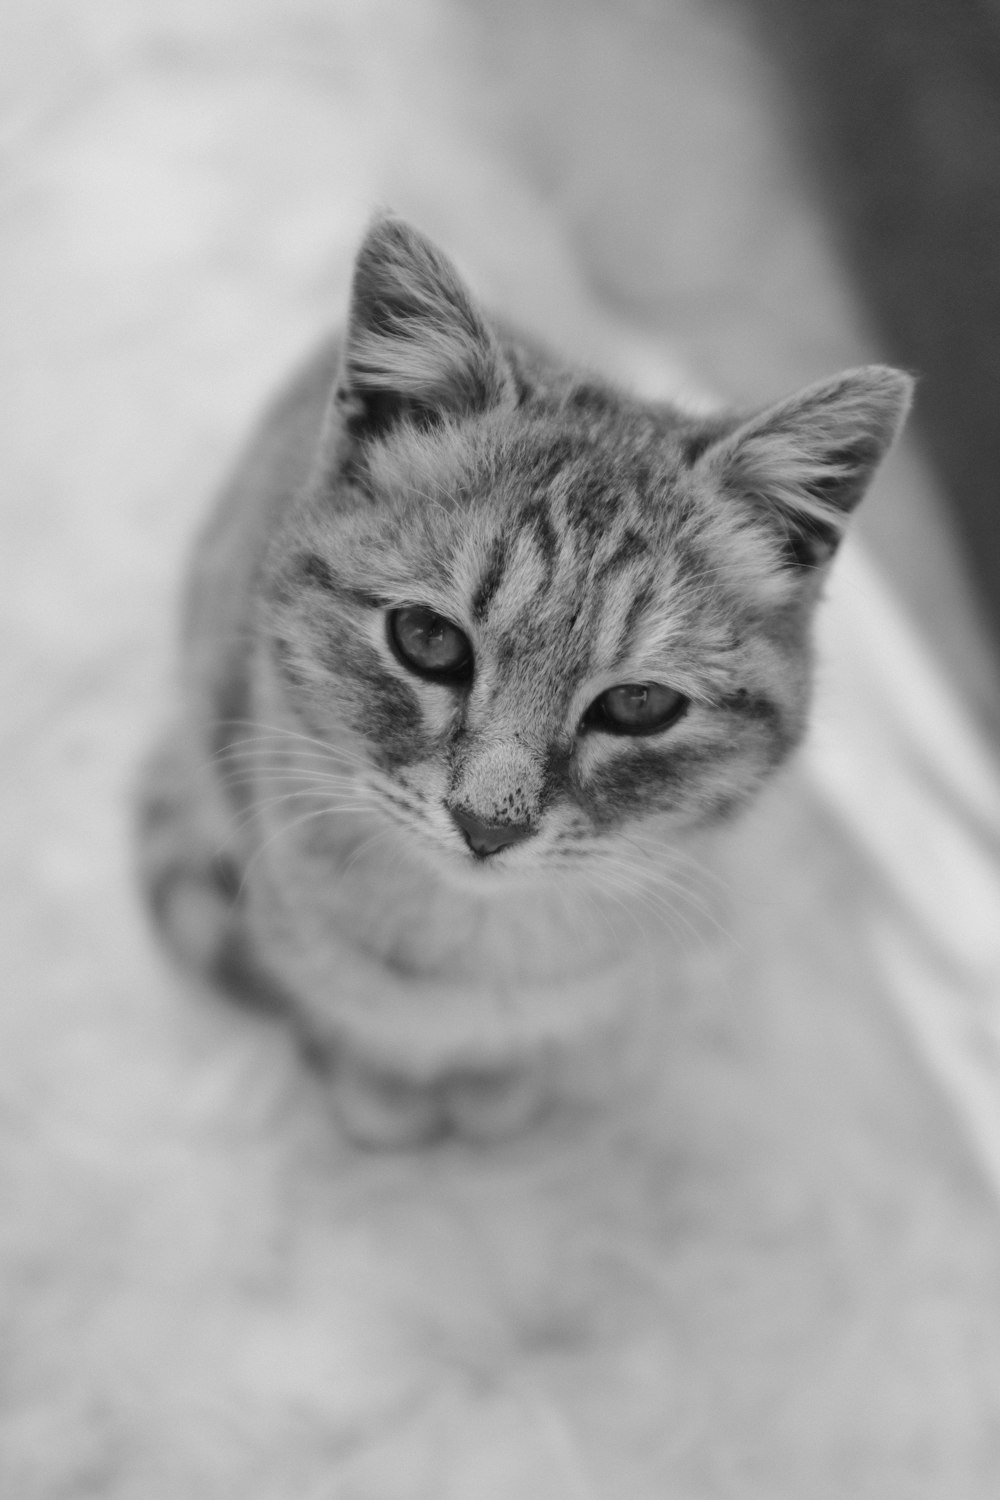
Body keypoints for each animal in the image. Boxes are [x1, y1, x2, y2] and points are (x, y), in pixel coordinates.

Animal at [138, 211, 917, 1146]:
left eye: (639, 703)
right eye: (428, 638)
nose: (487, 825)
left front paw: (499, 1088)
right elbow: (350, 1021)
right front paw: (381, 1084)